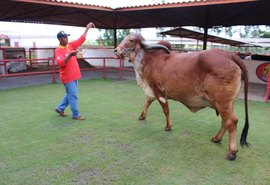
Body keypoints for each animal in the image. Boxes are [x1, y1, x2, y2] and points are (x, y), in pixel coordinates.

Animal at [114, 32, 249, 160]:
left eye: (131, 40)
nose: (115, 50)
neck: (150, 60)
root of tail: (229, 55)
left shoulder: (159, 91)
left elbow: (166, 110)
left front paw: (168, 127)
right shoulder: (152, 91)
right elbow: (147, 102)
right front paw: (142, 116)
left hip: (222, 102)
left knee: (231, 122)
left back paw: (231, 152)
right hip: (228, 103)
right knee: (224, 121)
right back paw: (216, 138)